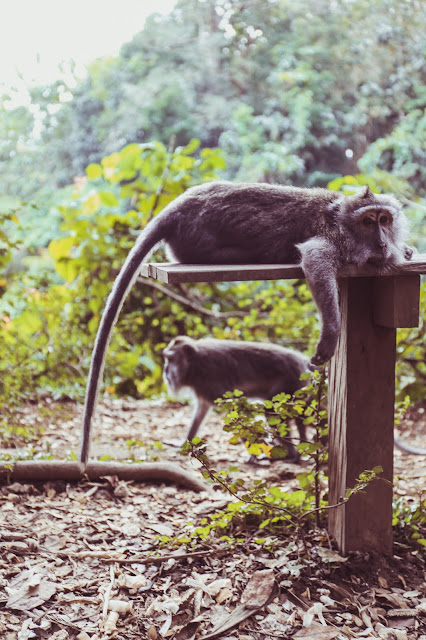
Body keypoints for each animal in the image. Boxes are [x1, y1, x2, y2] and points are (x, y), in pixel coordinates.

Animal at [162, 336, 310, 464]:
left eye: (170, 359)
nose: (165, 370)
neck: (194, 364)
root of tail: (303, 362)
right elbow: (201, 411)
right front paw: (185, 443)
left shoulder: (211, 376)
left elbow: (233, 410)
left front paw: (253, 452)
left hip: (289, 384)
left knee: (271, 412)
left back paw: (292, 455)